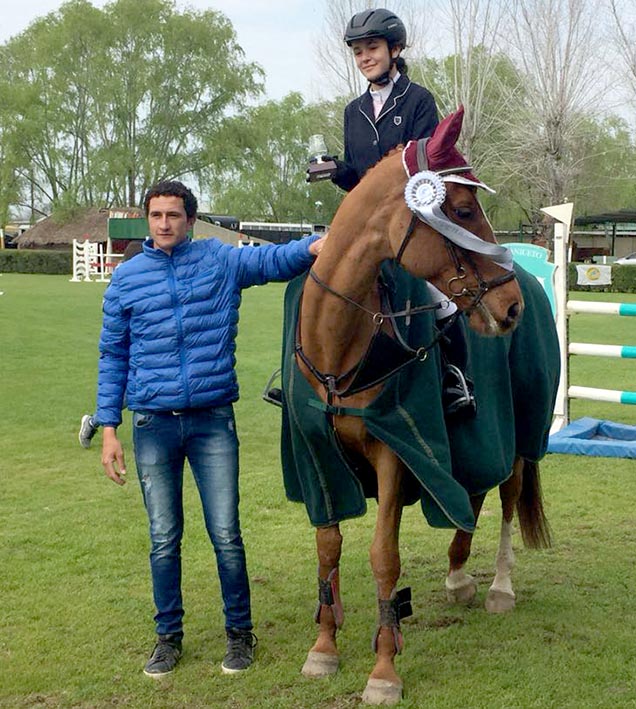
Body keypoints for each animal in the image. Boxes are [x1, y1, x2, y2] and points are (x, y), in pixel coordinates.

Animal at [286, 110, 556, 704]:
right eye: (462, 210)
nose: (511, 307)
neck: (342, 341)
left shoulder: (397, 450)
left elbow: (383, 557)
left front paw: (384, 670)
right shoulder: (318, 456)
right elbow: (328, 547)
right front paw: (324, 647)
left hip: (519, 431)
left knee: (507, 494)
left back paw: (499, 586)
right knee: (473, 493)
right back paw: (457, 576)